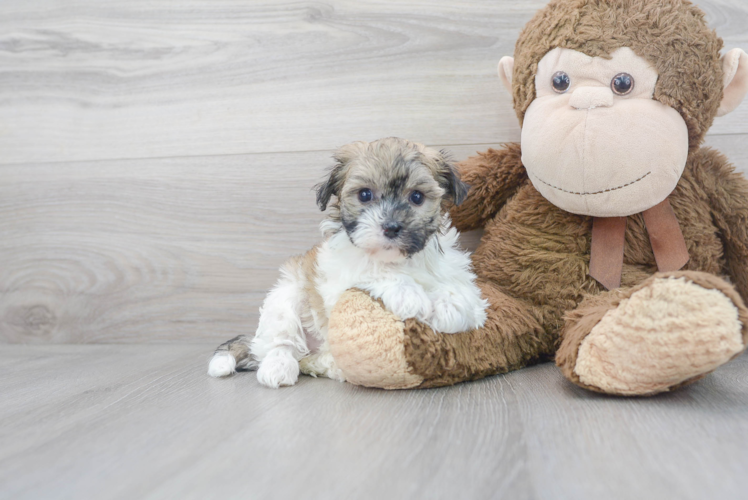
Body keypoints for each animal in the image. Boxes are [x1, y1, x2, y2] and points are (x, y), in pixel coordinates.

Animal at [207, 139, 488, 388]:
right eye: (365, 194)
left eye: (417, 197)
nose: (391, 227)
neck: (399, 260)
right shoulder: (339, 278)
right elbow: (374, 272)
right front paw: (409, 294)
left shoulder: (456, 272)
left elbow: (464, 295)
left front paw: (449, 308)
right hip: (286, 296)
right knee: (280, 342)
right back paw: (278, 367)